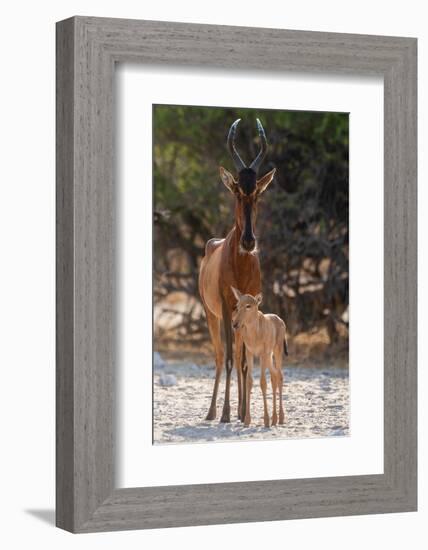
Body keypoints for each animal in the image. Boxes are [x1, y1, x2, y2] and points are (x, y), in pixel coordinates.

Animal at [199, 119, 276, 422]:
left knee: (239, 357)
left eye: (257, 192)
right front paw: (226, 414)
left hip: (235, 319)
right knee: (221, 357)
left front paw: (245, 414)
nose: (248, 241)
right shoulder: (225, 305)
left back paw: (241, 410)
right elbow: (232, 359)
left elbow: (244, 362)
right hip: (213, 315)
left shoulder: (247, 308)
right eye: (236, 190)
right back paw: (212, 413)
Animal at [231, 286, 288, 430]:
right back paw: (275, 419)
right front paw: (246, 420)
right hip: (269, 356)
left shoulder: (262, 354)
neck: (255, 332)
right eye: (237, 305)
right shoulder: (250, 354)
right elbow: (249, 381)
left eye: (248, 305)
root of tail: (280, 320)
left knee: (280, 376)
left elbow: (262, 382)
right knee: (274, 376)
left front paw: (266, 421)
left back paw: (280, 418)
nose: (235, 324)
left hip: (276, 351)